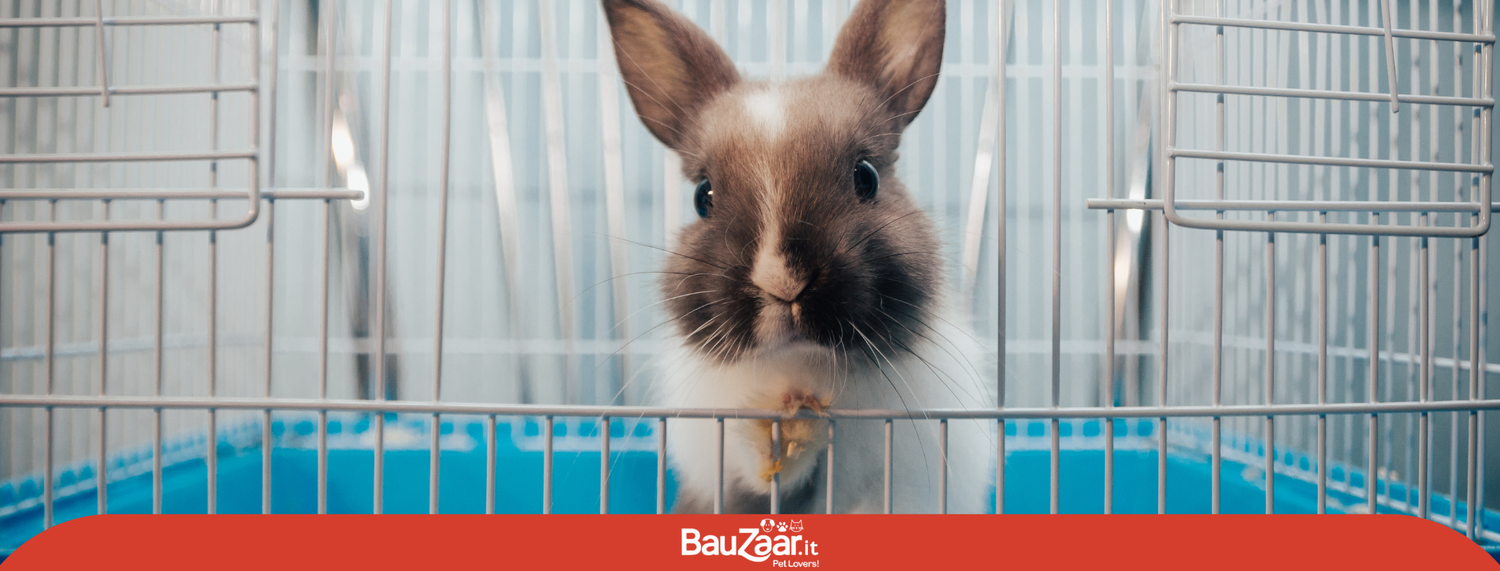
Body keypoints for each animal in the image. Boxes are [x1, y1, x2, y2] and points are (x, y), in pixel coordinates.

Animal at [603, 0, 994, 514]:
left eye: (866, 177)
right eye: (703, 196)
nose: (783, 281)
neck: (804, 364)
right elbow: (762, 476)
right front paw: (781, 430)